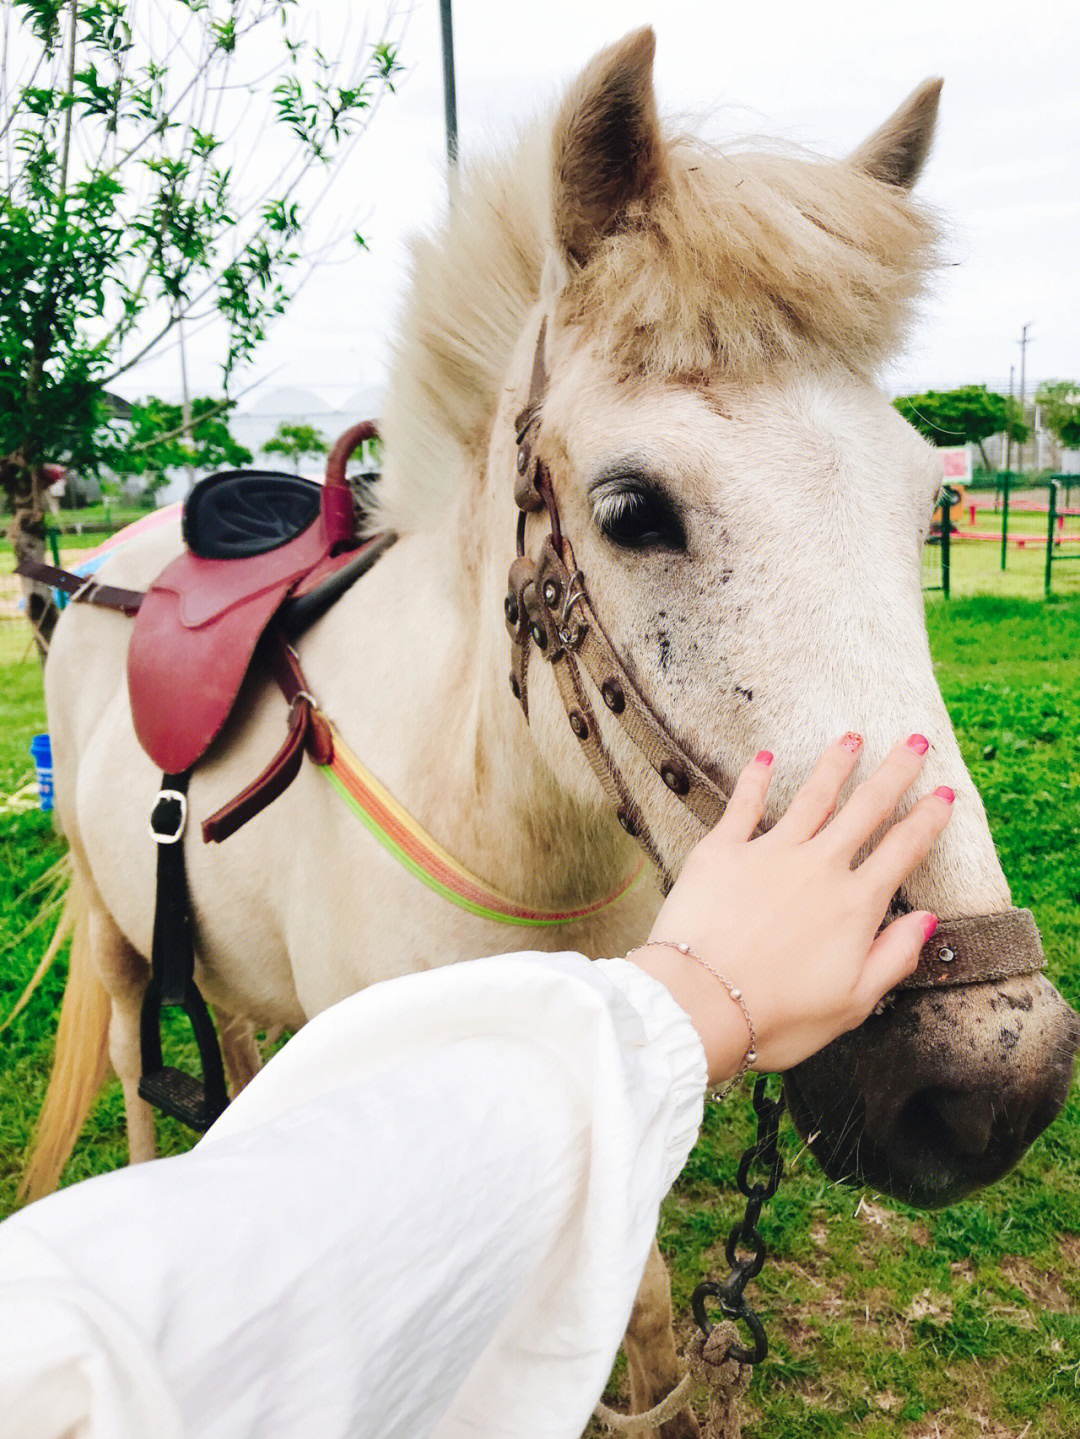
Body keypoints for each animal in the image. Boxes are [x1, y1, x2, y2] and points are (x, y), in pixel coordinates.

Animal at [27, 28, 1080, 1433]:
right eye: (631, 509)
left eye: (926, 504)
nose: (985, 1086)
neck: (514, 839)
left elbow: (642, 1313)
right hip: (111, 924)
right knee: (138, 1067)